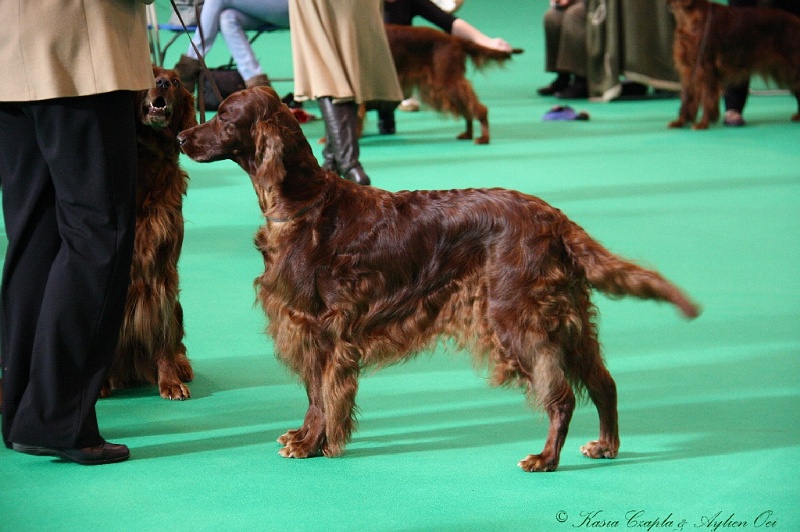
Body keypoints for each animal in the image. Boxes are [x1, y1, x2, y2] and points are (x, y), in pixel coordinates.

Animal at [103, 65, 197, 400]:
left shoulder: (163, 270)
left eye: (177, 81)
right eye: (151, 72)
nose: (163, 83)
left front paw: (169, 380)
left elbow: (163, 332)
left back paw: (181, 366)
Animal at [382, 23, 520, 143]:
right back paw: (468, 134)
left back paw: (483, 138)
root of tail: (454, 39)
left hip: (447, 82)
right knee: (468, 107)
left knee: (479, 108)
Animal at [668, 0, 800, 128]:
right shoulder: (688, 69)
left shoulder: (706, 68)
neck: (687, 17)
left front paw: (703, 123)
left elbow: (707, 97)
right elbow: (686, 97)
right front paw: (680, 121)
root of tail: (796, 21)